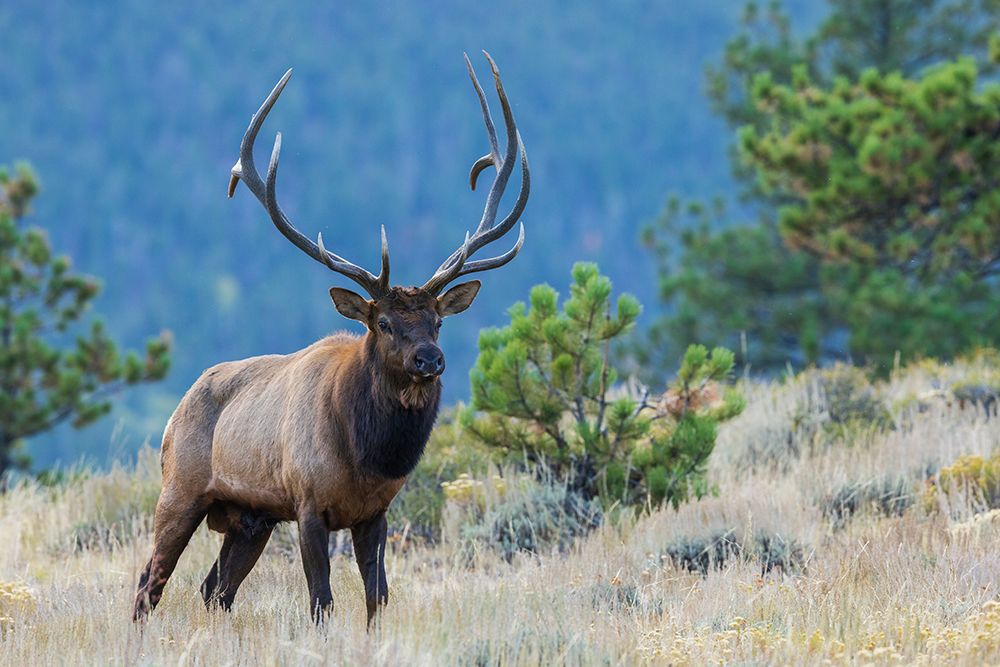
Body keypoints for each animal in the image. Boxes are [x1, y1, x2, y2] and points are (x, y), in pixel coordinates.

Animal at [132, 52, 529, 625]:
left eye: (437, 320)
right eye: (382, 323)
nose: (430, 359)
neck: (366, 455)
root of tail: (177, 407)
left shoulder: (376, 512)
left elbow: (377, 598)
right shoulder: (307, 504)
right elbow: (322, 600)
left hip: (250, 518)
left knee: (215, 591)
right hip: (179, 490)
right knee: (149, 584)